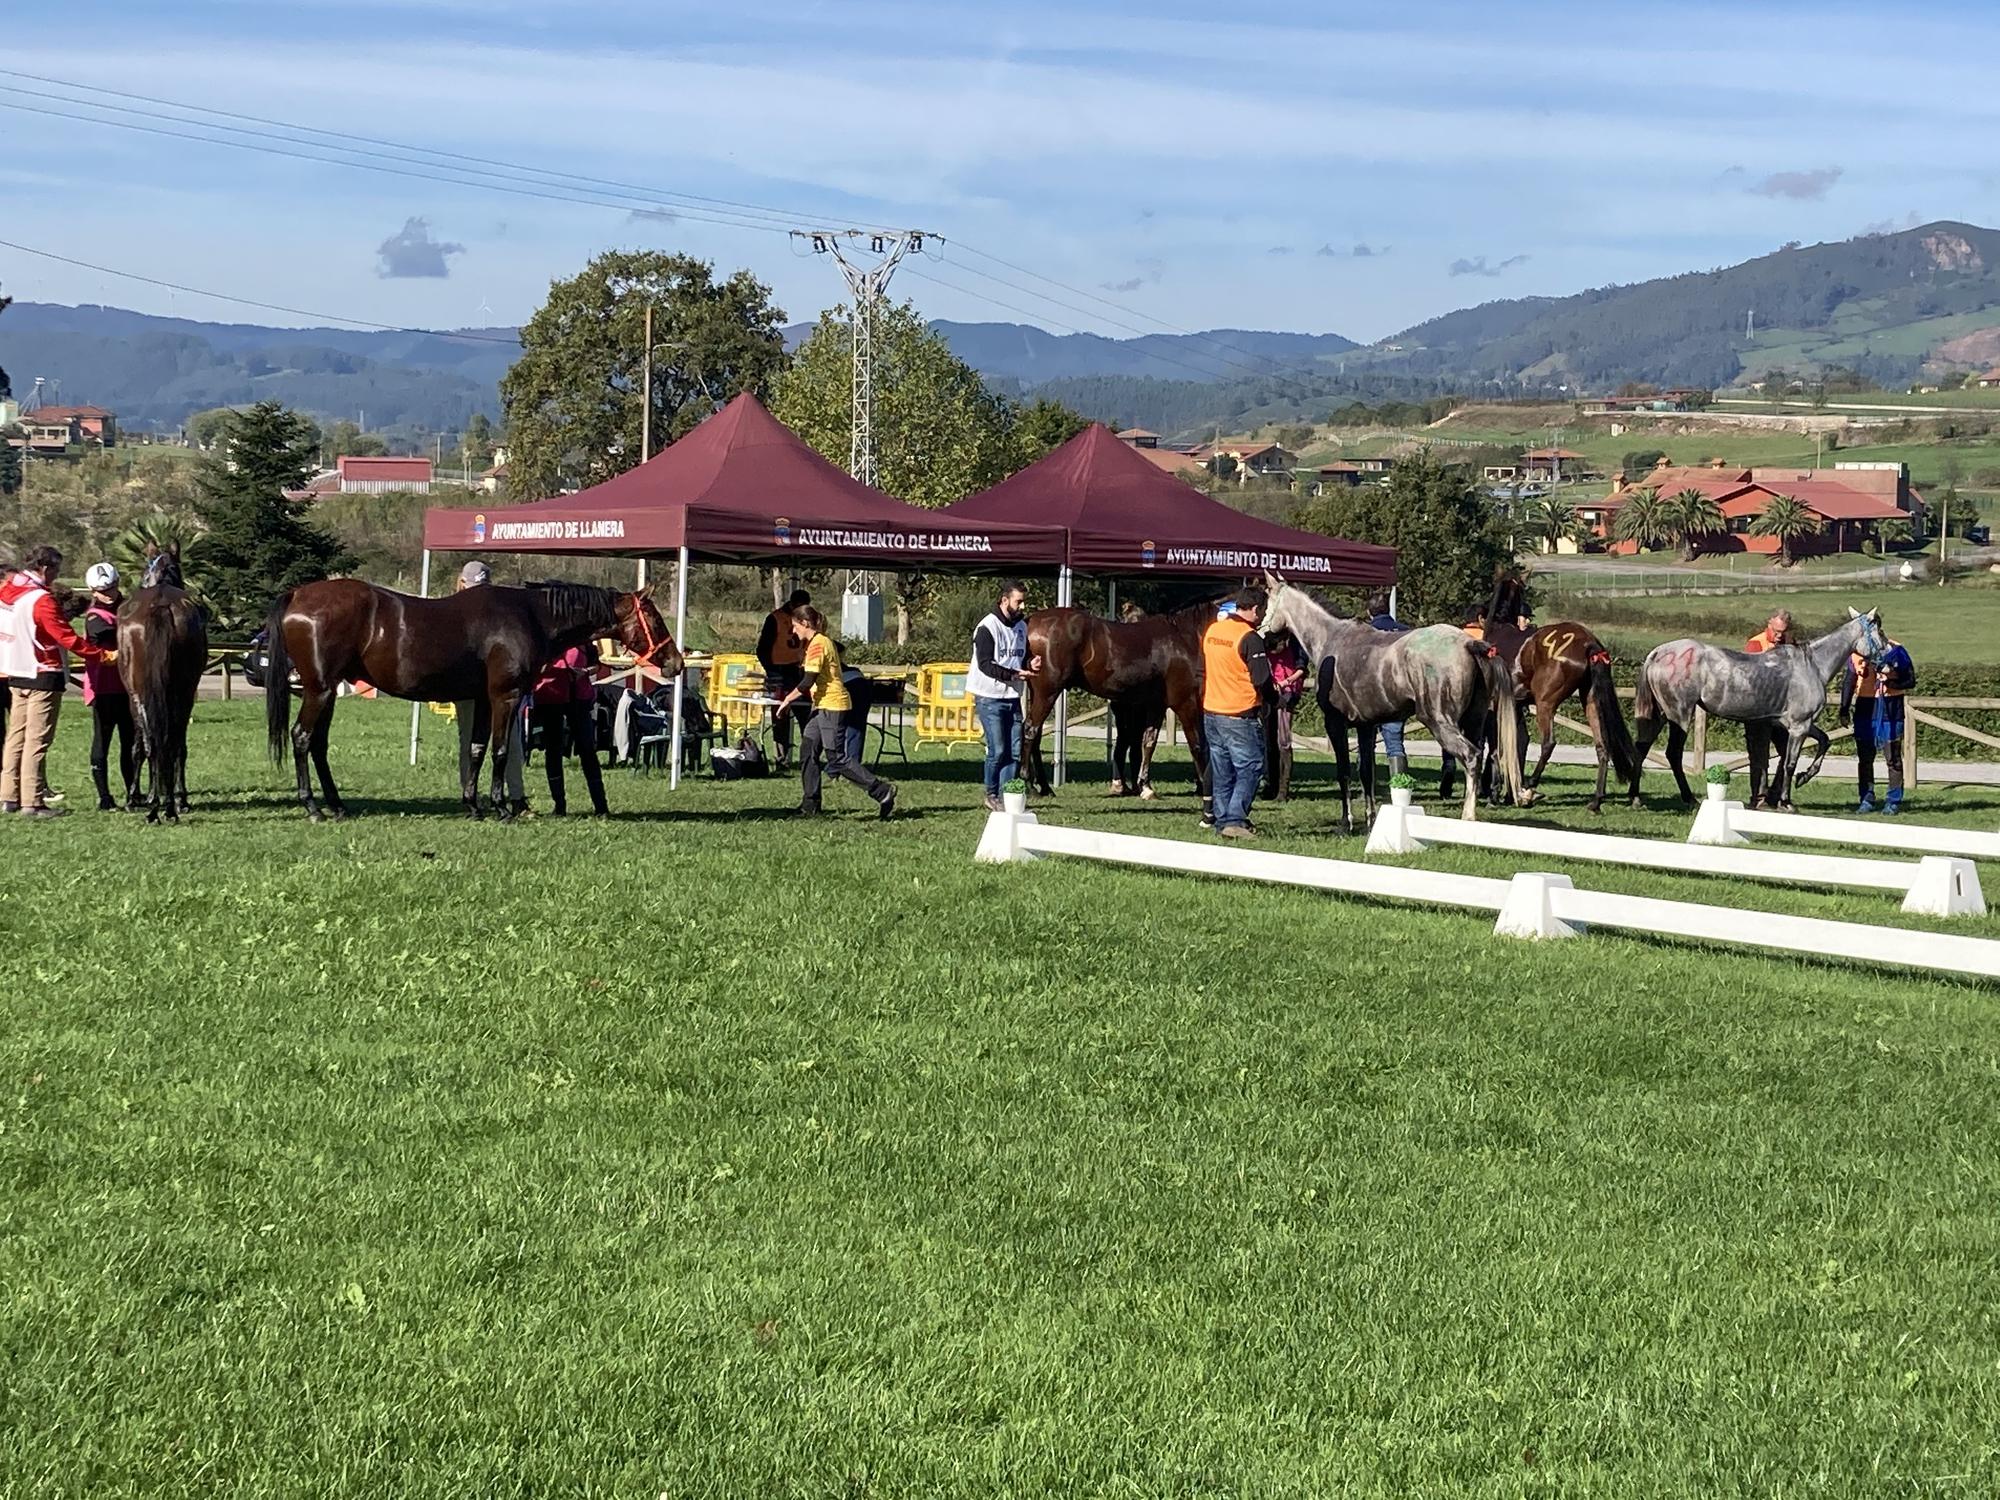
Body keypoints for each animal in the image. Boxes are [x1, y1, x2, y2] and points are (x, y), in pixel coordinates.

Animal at [118, 544, 208, 824]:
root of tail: (160, 606)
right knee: (170, 743)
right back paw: (167, 805)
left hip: (143, 696)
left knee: (155, 744)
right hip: (181, 695)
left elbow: (139, 747)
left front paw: (135, 797)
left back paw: (158, 807)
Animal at [264, 584, 680, 824]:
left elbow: (477, 749)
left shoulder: (482, 698)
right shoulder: (504, 696)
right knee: (302, 738)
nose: (675, 663)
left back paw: (336, 806)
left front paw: (474, 805)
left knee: (318, 745)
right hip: (319, 689)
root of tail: (298, 596)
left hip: (328, 691)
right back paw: (313, 808)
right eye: (655, 619)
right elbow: (499, 751)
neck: (530, 616)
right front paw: (501, 808)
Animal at [1024, 604, 1208, 812]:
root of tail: (1031, 621)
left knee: (1035, 734)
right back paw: (1029, 785)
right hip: (1047, 692)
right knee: (1030, 730)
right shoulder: (1186, 702)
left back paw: (1044, 787)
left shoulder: (1157, 705)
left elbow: (1149, 742)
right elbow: (1197, 745)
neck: (1184, 638)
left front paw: (1146, 788)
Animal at [1256, 576, 1520, 836]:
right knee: (1484, 756)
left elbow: (1344, 772)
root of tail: (1469, 644)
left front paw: (1346, 823)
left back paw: (1468, 817)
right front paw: (1371, 820)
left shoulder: (1335, 724)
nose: (1264, 637)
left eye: (1268, 603)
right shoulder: (1365, 727)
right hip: (1474, 723)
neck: (1332, 638)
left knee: (1471, 757)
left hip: (1440, 722)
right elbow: (1366, 773)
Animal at [1624, 604, 1888, 812]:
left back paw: (1636, 798)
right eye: (1880, 632)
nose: (1888, 663)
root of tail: (1658, 653)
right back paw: (1689, 799)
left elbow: (1822, 741)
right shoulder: (1799, 726)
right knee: (1673, 754)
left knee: (1641, 748)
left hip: (1659, 715)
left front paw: (1803, 778)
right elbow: (1790, 763)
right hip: (1679, 715)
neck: (1811, 665)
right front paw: (1787, 801)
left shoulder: (1796, 725)